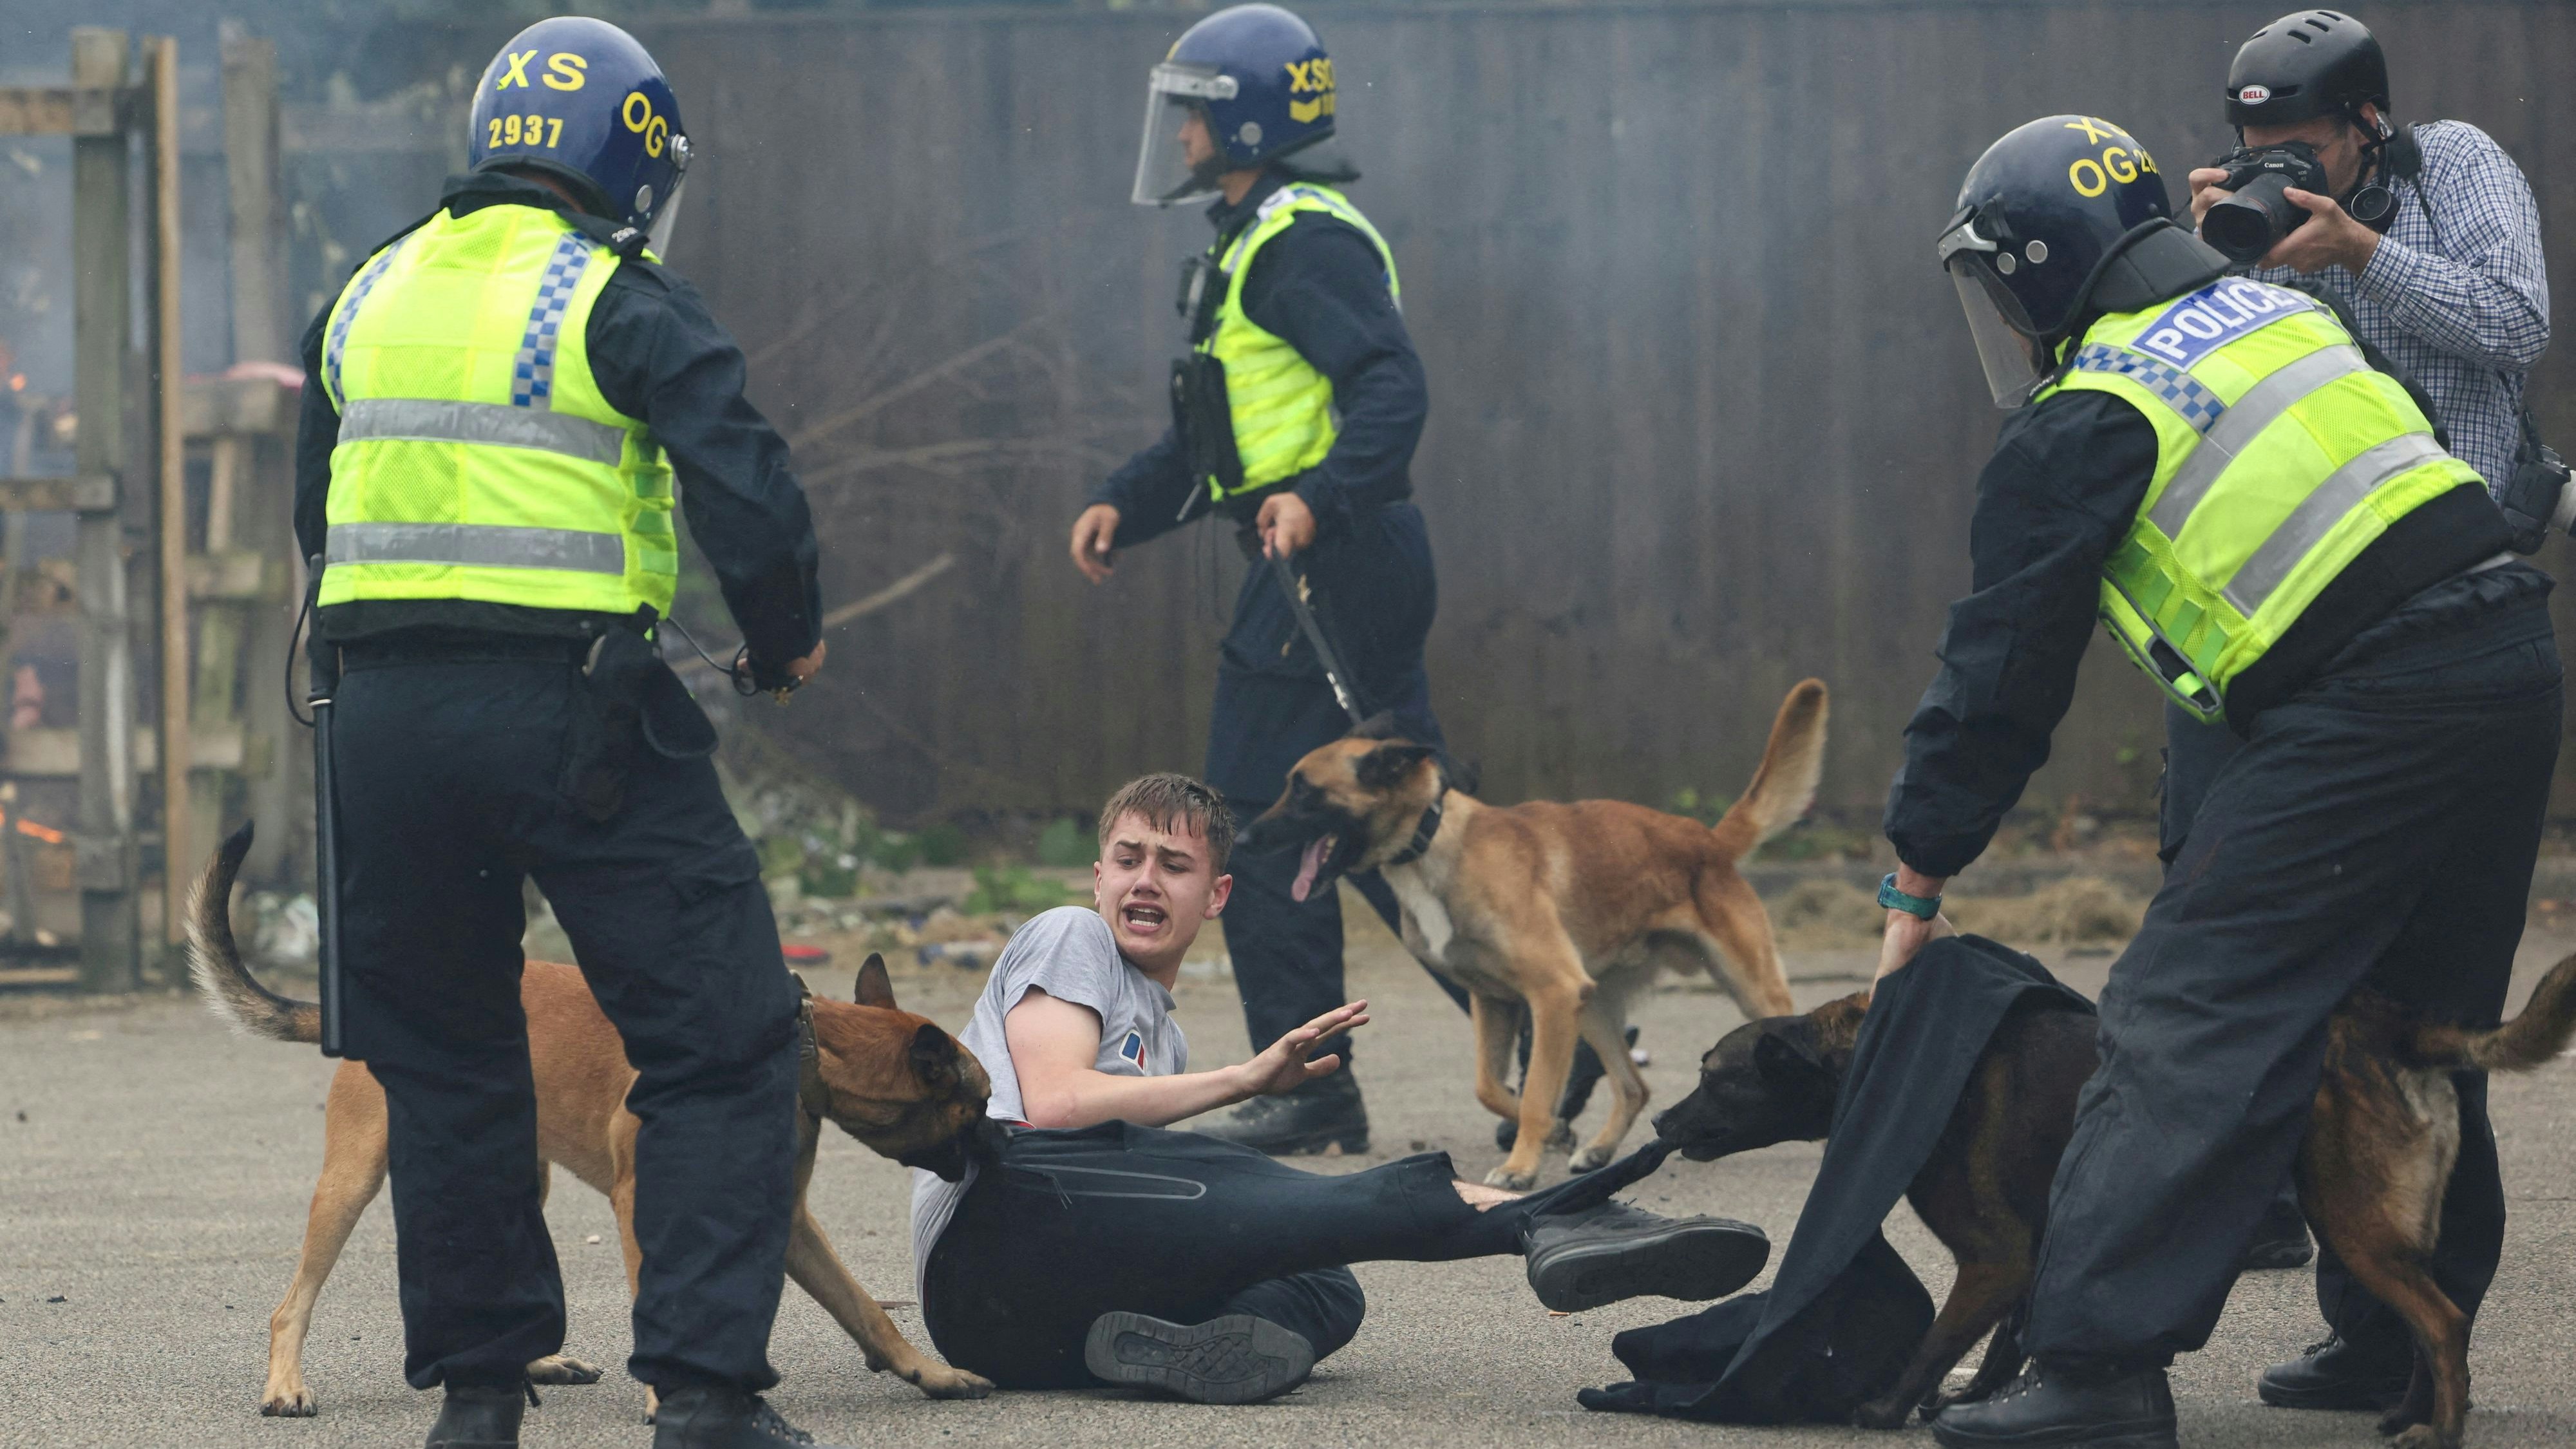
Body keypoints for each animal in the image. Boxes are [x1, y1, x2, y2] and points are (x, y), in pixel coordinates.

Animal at [182, 825, 999, 1412]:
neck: (798, 1045)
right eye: (979, 1105)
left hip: (519, 1178)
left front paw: (929, 1372)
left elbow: (866, 1309)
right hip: (352, 1179)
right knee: (292, 1302)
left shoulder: (789, 1222)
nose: (1000, 1147)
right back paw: (285, 1386)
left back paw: (533, 1361)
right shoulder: (644, 1201)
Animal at [1247, 675, 1834, 1186]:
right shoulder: (1497, 1002)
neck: (1434, 842)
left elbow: (1531, 1093)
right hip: (1593, 1007)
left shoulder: (1551, 994)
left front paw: (1521, 1167)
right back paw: (1597, 1148)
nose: (1248, 835)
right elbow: (1490, 1086)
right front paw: (1552, 1132)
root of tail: (1708, 840)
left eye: (1304, 792)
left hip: (1744, 987)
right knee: (1634, 1085)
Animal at [1649, 949, 2576, 1443]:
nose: (1658, 1119)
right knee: (2434, 1318)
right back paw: (2409, 1412)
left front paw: (1884, 1409)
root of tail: (2395, 1024)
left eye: (1714, 1078)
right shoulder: (2028, 1255)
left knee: (2443, 1322)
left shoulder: (1992, 1259)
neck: (1865, 1051)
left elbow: (1939, 1341)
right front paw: (1981, 1402)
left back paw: (2441, 1428)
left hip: (2354, 1223)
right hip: (2384, 1229)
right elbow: (2005, 1343)